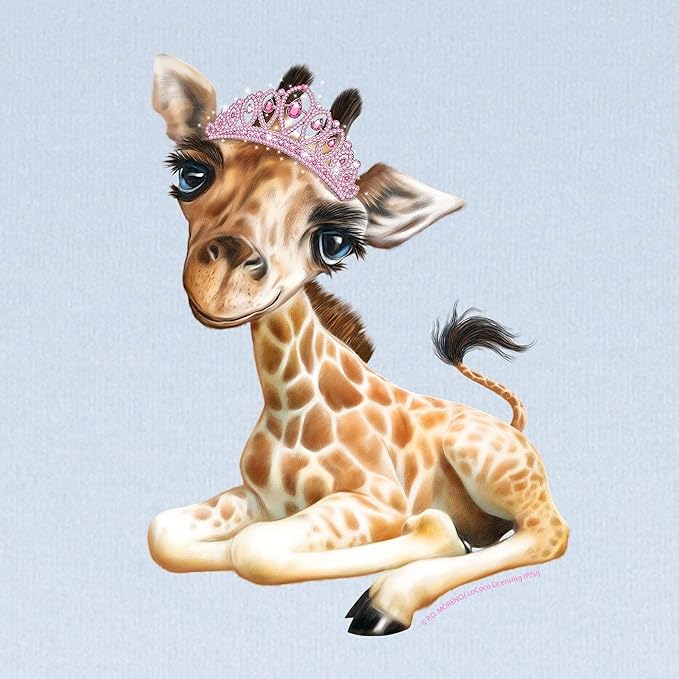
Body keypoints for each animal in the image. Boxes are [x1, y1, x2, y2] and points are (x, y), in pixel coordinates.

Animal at [147, 55, 569, 636]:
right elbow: (169, 534)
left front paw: (426, 542)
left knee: (550, 532)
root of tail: (517, 429)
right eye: (191, 178)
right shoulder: (259, 499)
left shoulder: (377, 500)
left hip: (486, 464)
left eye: (334, 241)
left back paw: (389, 599)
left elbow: (253, 551)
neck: (289, 404)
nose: (224, 280)